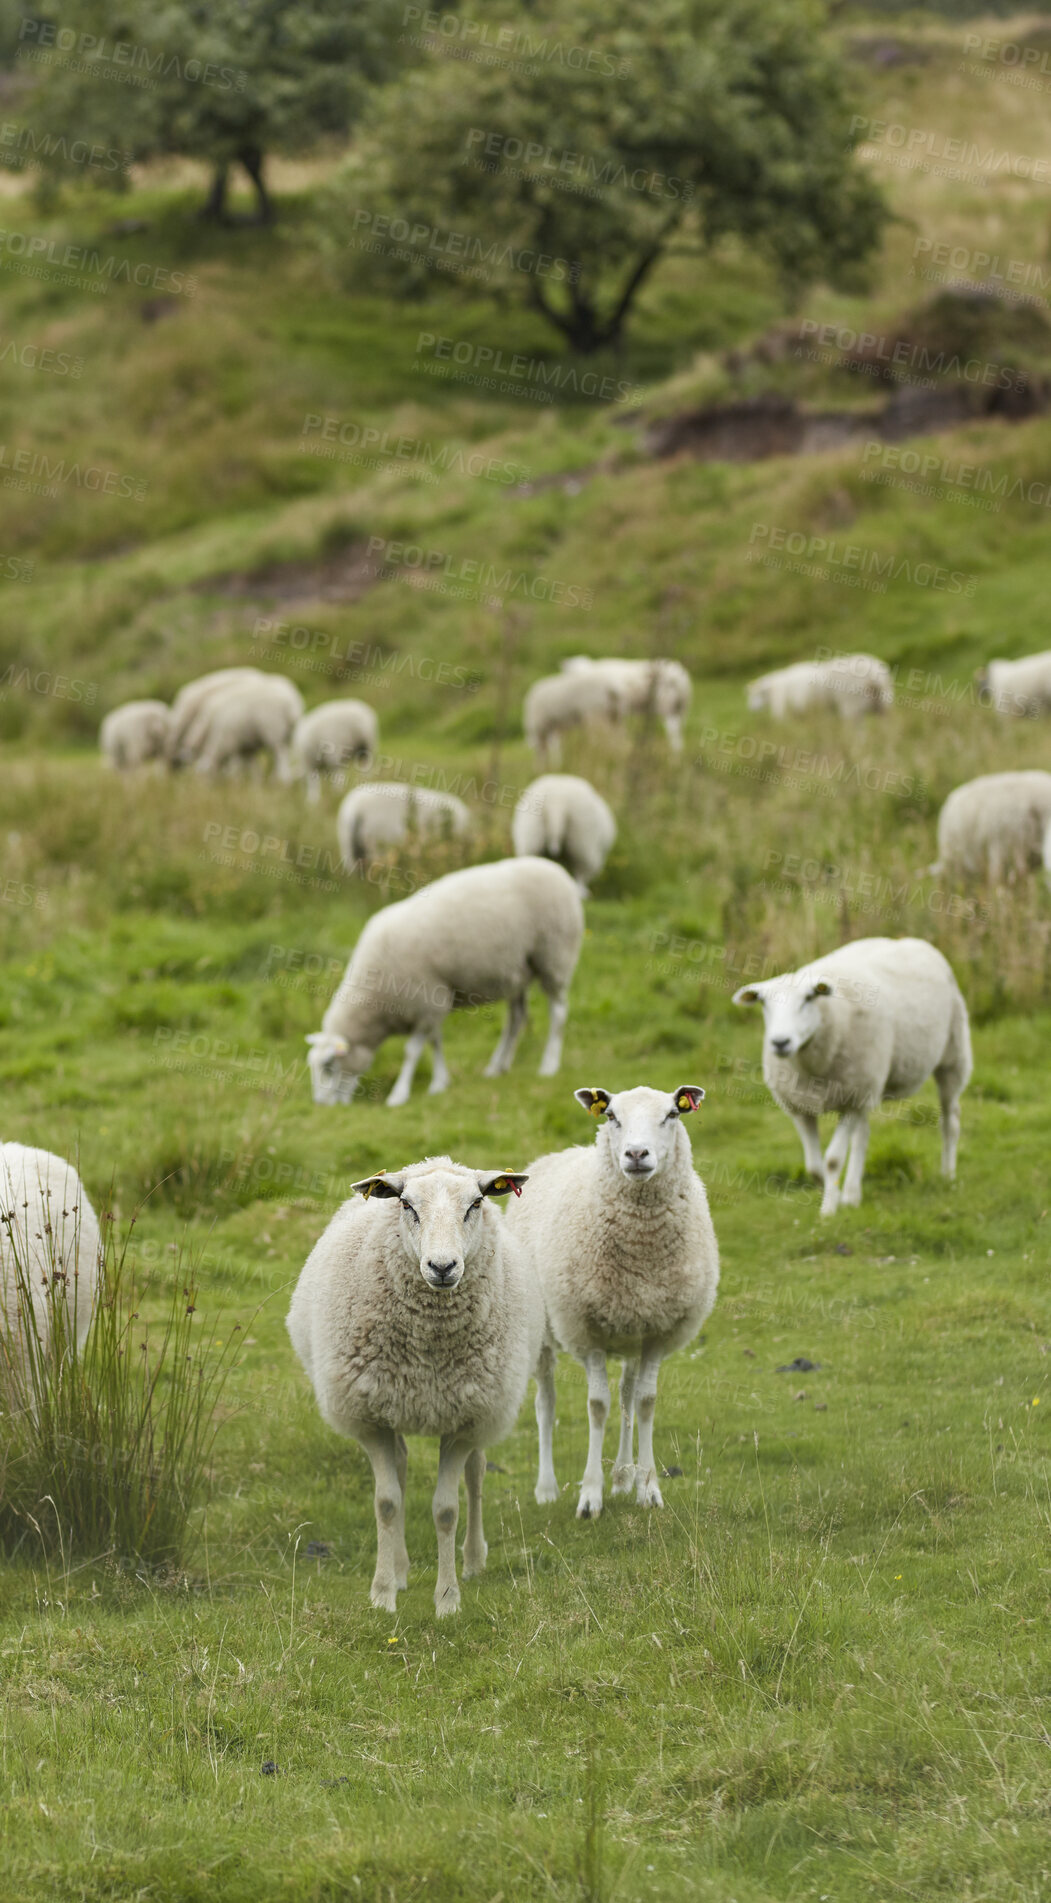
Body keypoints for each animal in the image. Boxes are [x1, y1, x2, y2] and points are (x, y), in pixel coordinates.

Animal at [286, 1157, 543, 1615]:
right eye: (406, 1205)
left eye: (476, 1204)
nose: (442, 1267)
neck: (428, 1349)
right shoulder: (370, 1418)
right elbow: (387, 1503)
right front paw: (383, 1593)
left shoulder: (463, 1421)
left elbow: (446, 1510)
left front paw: (447, 1600)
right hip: (394, 1405)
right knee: (402, 1469)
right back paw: (402, 1567)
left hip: (482, 1409)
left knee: (476, 1474)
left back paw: (473, 1559)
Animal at [306, 857, 584, 1108]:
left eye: (328, 1066)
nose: (320, 1104)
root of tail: (558, 870)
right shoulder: (432, 1005)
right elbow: (435, 1043)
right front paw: (440, 1082)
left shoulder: (426, 1001)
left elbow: (413, 1051)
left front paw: (400, 1094)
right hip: (517, 972)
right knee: (516, 1018)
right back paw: (497, 1066)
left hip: (554, 956)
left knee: (558, 1012)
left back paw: (549, 1065)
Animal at [502, 1084, 718, 1519]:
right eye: (611, 1116)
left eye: (672, 1114)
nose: (636, 1154)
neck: (642, 1248)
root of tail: (554, 1156)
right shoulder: (587, 1333)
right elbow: (597, 1406)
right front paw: (590, 1495)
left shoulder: (656, 1332)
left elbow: (645, 1402)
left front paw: (647, 1488)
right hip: (543, 1332)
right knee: (546, 1404)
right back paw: (547, 1488)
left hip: (630, 1334)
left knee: (627, 1396)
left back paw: (622, 1475)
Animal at [733, 936, 972, 1217]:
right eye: (764, 1003)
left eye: (809, 998)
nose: (780, 1042)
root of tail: (912, 940)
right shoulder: (800, 1108)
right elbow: (814, 1166)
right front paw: (830, 1193)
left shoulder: (850, 1100)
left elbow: (833, 1160)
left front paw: (828, 1211)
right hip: (868, 1085)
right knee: (862, 1137)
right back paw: (852, 1194)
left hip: (951, 1058)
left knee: (950, 1121)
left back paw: (948, 1174)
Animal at [746, 654, 893, 719]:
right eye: (750, 696)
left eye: (757, 695)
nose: (751, 708)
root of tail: (873, 674)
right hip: (883, 704)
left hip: (852, 708)